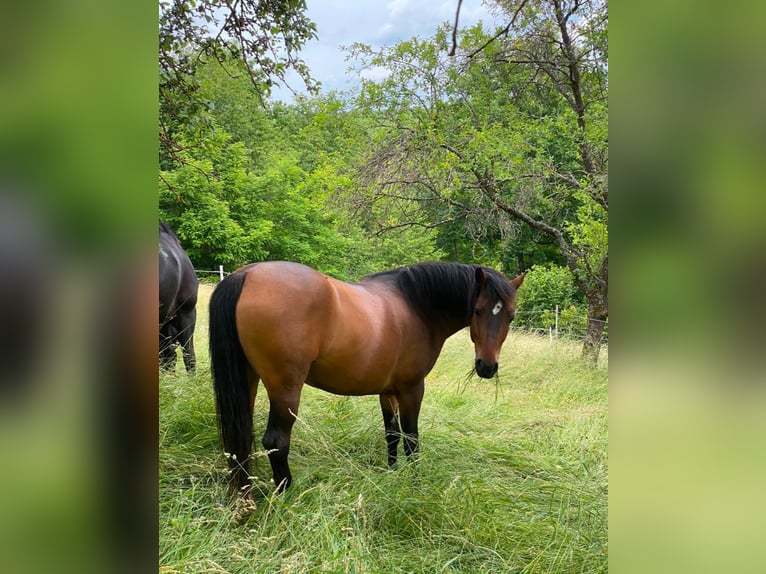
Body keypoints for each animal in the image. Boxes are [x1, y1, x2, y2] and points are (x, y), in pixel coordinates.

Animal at [207, 264, 524, 498]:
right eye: (477, 310)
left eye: (510, 316)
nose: (487, 367)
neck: (416, 306)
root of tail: (246, 275)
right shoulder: (411, 390)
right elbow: (411, 440)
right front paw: (415, 485)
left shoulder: (388, 392)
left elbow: (392, 435)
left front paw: (393, 474)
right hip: (285, 390)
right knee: (276, 441)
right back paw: (286, 494)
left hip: (248, 381)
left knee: (241, 435)